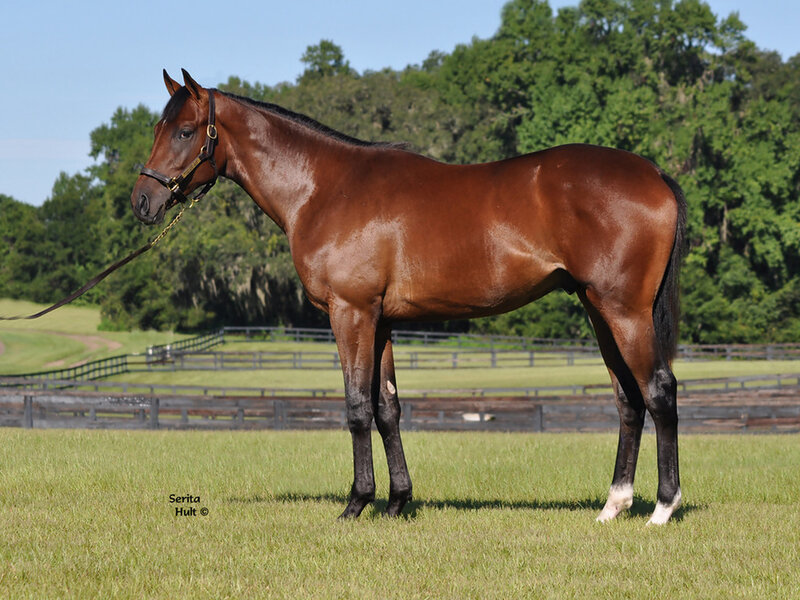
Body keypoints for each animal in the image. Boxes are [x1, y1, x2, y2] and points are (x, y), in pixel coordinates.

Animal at [132, 70, 686, 525]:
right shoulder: (380, 321)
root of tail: (653, 173)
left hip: (624, 312)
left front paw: (356, 504)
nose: (142, 201)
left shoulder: (350, 314)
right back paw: (613, 505)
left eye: (185, 131)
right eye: (158, 128)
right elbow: (388, 408)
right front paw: (397, 501)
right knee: (628, 399)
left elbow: (358, 406)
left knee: (659, 390)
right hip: (597, 309)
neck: (324, 188)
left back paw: (663, 508)